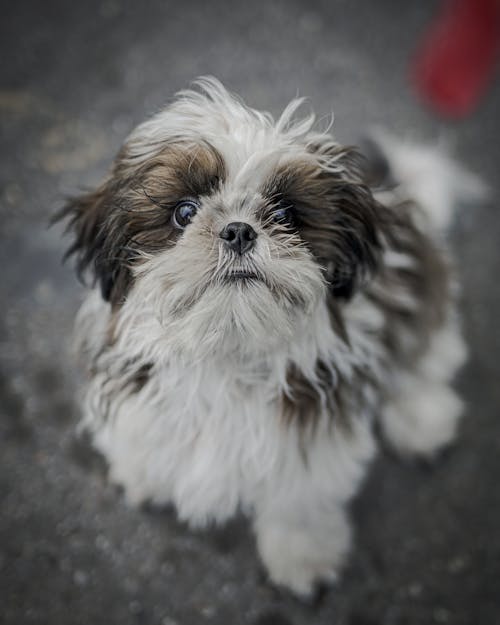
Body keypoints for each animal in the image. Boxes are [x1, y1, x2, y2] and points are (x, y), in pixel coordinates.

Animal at [58, 78, 472, 596]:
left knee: (424, 350)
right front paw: (142, 472)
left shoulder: (308, 438)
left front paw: (303, 555)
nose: (238, 230)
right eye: (184, 212)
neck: (228, 348)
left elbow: (299, 498)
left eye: (286, 214)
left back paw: (420, 416)